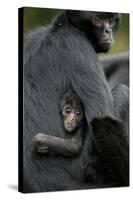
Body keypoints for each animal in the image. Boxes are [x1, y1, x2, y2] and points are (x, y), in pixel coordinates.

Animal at [21, 9, 129, 192]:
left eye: (111, 20)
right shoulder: (77, 44)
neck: (62, 26)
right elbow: (102, 119)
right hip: (83, 167)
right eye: (98, 19)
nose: (108, 31)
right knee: (122, 93)